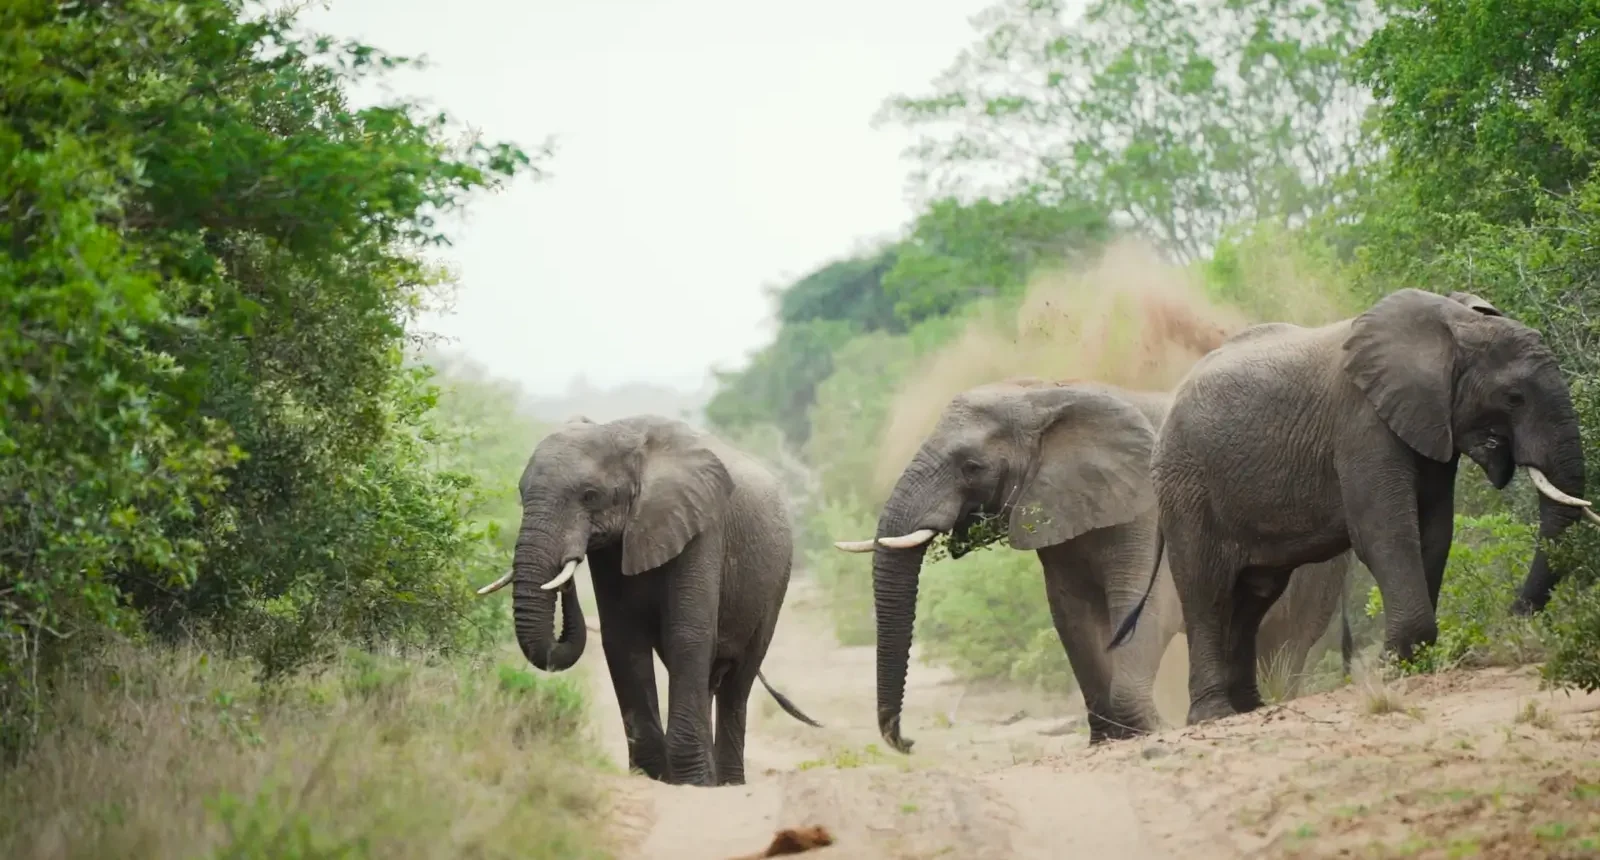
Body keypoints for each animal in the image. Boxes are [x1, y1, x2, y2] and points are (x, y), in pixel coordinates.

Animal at [473, 414, 821, 786]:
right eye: (522, 494)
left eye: (590, 495)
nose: (566, 568)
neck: (622, 434)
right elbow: (623, 641)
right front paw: (654, 776)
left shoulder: (702, 527)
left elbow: (687, 635)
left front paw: (690, 782)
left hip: (776, 580)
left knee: (738, 682)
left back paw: (726, 783)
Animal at [832, 377, 1353, 752]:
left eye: (971, 466)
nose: (908, 742)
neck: (1046, 395)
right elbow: (1072, 618)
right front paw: (1108, 739)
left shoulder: (1148, 507)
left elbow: (1148, 609)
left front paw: (1151, 729)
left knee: (1285, 640)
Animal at [1111, 289, 1600, 727]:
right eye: (1514, 397)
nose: (1512, 619)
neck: (1454, 324)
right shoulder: (1362, 424)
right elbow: (1385, 533)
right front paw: (1393, 665)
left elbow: (1435, 532)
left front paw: (1410, 660)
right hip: (1187, 487)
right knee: (1207, 591)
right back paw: (1214, 716)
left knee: (1253, 596)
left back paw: (1251, 707)